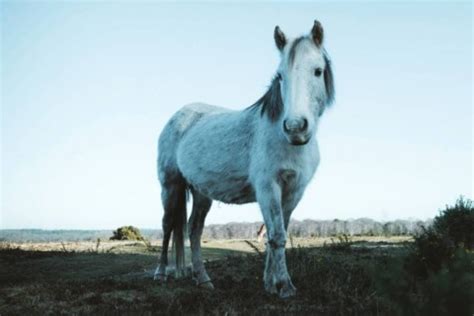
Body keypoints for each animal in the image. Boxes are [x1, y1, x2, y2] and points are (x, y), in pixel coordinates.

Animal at [154, 20, 336, 298]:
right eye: (280, 76)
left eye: (317, 71)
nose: (295, 128)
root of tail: (179, 115)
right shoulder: (268, 188)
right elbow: (277, 235)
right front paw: (285, 287)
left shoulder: (293, 191)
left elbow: (276, 234)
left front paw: (271, 284)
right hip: (171, 185)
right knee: (167, 226)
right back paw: (161, 274)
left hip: (201, 192)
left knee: (194, 229)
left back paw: (203, 279)